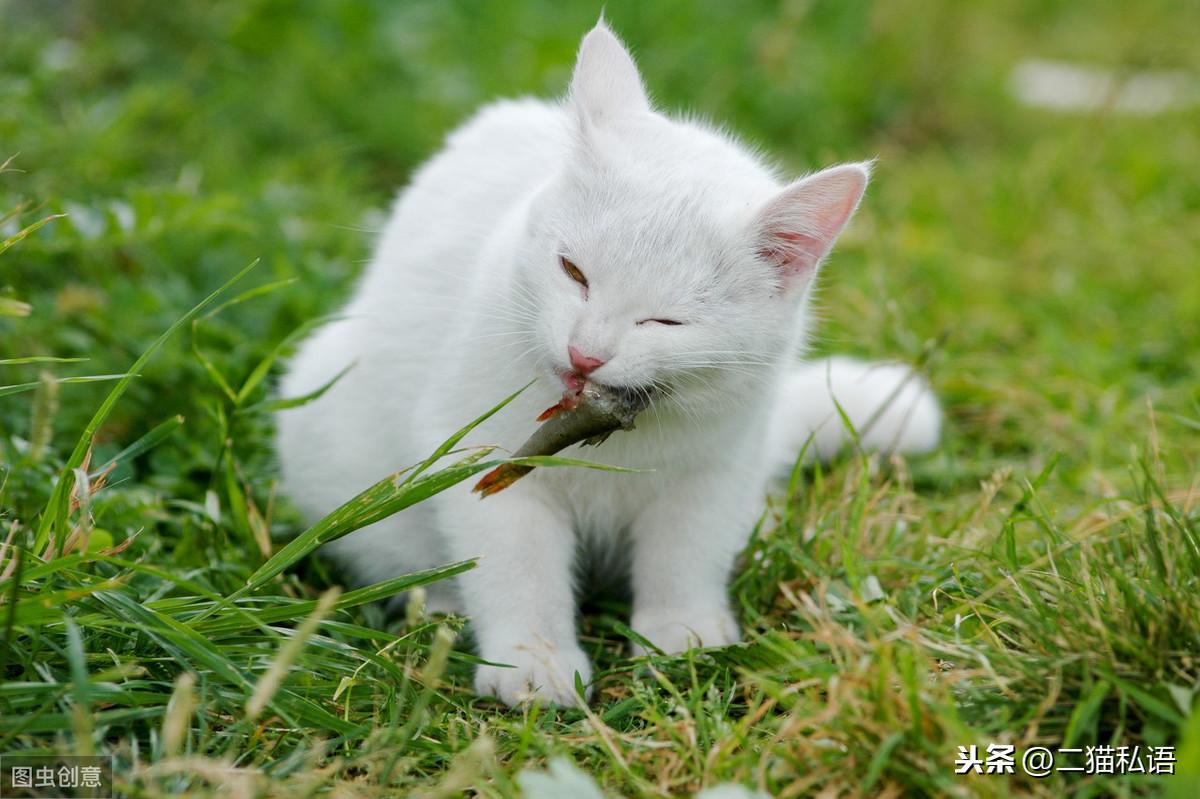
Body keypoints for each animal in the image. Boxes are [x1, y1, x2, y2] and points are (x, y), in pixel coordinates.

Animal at [276, 20, 940, 705]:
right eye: (574, 272)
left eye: (665, 322)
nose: (585, 352)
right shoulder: (484, 452)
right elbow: (515, 563)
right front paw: (531, 659)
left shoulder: (715, 466)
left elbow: (686, 551)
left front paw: (682, 633)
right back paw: (437, 606)